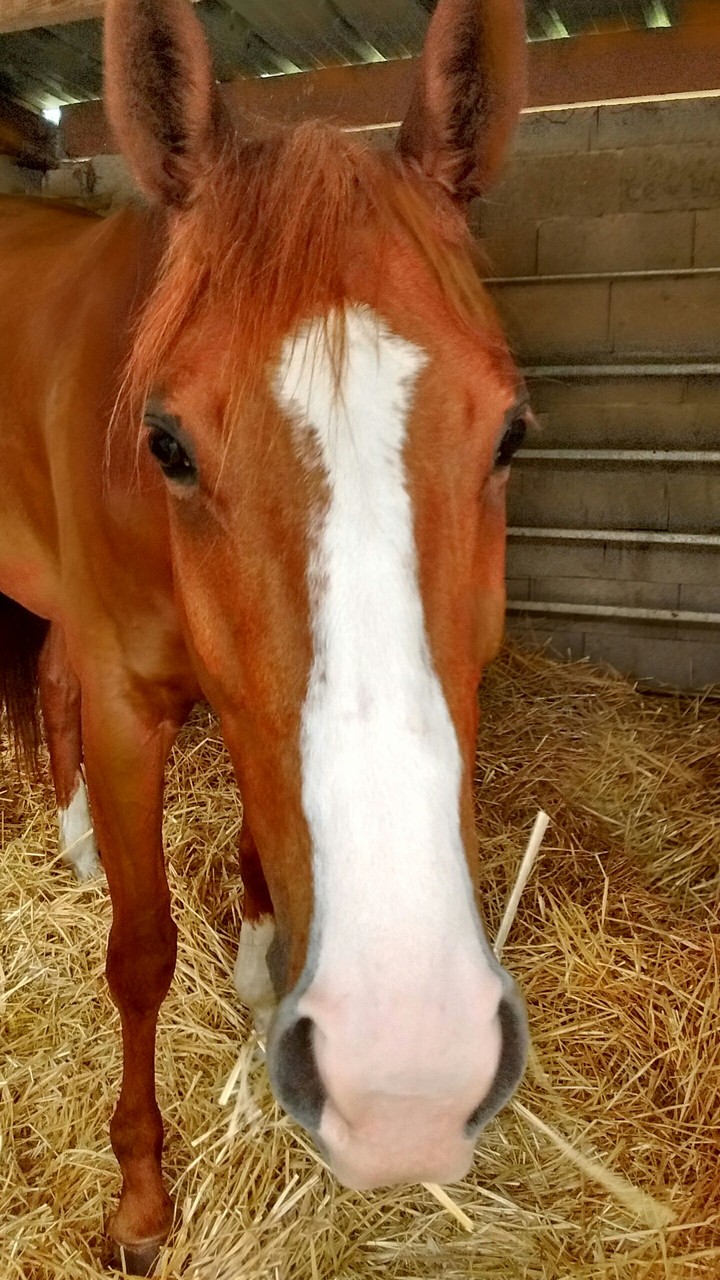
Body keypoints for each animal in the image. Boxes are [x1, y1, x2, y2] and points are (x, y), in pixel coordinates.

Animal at [0, 0, 531, 1270]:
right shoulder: (132, 701)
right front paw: (141, 1199)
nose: (407, 1079)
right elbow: (140, 951)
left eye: (510, 435)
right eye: (169, 442)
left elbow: (256, 850)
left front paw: (254, 993)